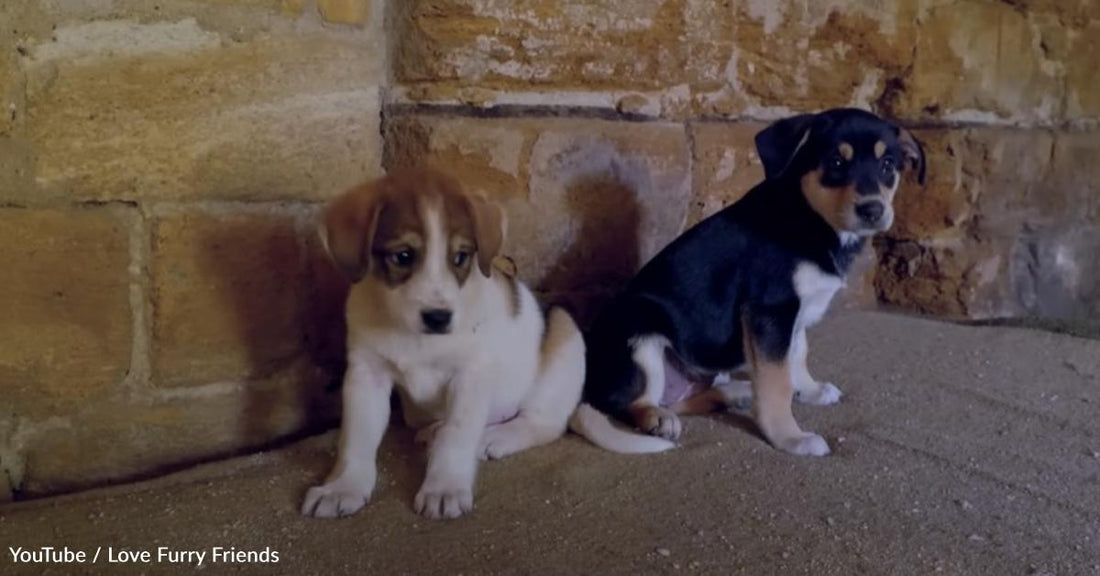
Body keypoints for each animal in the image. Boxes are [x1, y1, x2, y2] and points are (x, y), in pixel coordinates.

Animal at [301, 167, 655, 521]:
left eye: (460, 257)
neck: (416, 337)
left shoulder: (470, 376)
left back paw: (493, 438)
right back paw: (436, 431)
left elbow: (457, 436)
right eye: (403, 256)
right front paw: (343, 486)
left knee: (542, 424)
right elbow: (356, 438)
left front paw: (444, 487)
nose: (439, 317)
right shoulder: (366, 374)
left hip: (563, 334)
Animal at [576, 109, 928, 455]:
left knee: (681, 400)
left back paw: (734, 393)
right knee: (631, 401)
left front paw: (809, 390)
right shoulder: (770, 310)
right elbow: (777, 381)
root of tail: (588, 388)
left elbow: (797, 354)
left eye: (887, 165)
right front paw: (789, 437)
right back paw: (658, 418)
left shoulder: (792, 315)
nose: (873, 210)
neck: (811, 217)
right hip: (639, 332)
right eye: (836, 163)